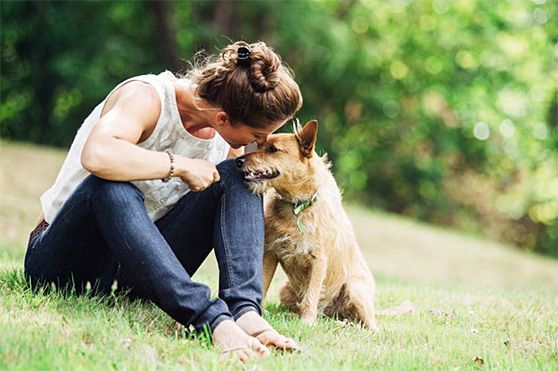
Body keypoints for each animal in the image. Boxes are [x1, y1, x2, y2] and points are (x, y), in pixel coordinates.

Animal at [238, 120, 378, 332]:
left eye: (273, 149)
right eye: (260, 145)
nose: (238, 161)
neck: (297, 206)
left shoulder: (318, 260)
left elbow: (311, 295)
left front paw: (307, 321)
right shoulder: (270, 253)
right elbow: (263, 283)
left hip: (355, 290)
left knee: (371, 326)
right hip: (286, 291)